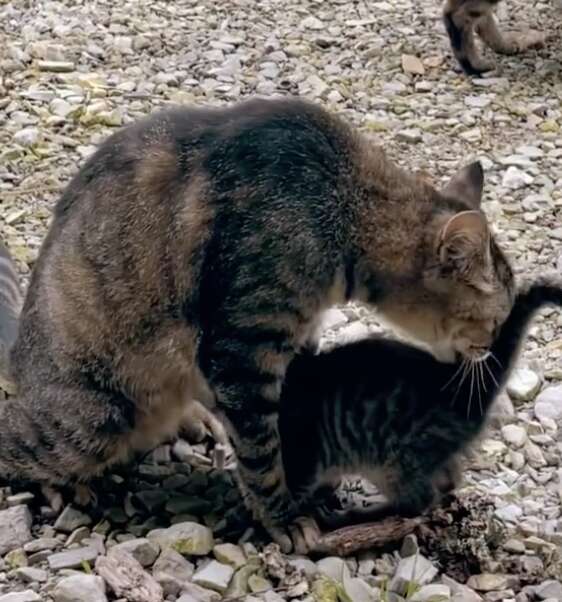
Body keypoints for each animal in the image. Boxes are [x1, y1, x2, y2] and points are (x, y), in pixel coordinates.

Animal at [0, 96, 512, 552]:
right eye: (497, 319)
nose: (490, 349)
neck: (346, 205)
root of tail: (20, 351)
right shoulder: (241, 348)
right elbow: (262, 451)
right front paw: (282, 515)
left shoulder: (296, 343)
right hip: (92, 420)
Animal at [278, 274, 556, 552]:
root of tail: (461, 388)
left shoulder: (303, 456)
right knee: (447, 482)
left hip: (396, 459)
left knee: (417, 501)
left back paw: (356, 517)